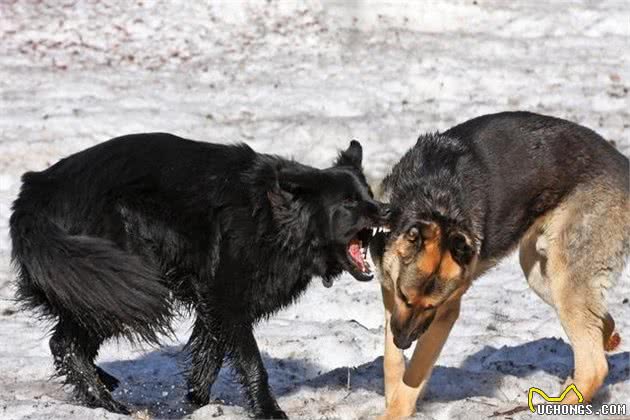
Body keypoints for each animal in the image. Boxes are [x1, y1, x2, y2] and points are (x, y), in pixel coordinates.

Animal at [11, 133, 390, 418]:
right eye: (348, 203)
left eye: (369, 194)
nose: (386, 210)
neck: (273, 218)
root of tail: (36, 189)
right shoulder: (225, 299)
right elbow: (251, 362)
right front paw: (268, 410)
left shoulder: (215, 307)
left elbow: (208, 359)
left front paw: (195, 402)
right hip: (121, 279)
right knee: (65, 343)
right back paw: (109, 404)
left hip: (105, 284)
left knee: (69, 340)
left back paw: (102, 388)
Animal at [372, 110, 628, 416]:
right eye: (404, 296)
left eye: (432, 306)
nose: (403, 340)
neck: (436, 203)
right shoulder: (390, 294)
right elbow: (392, 362)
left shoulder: (445, 313)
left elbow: (413, 373)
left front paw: (396, 409)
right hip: (542, 275)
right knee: (601, 325)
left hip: (565, 279)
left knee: (594, 367)